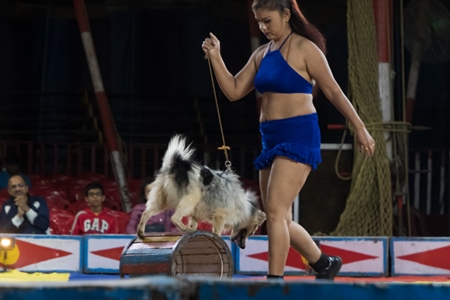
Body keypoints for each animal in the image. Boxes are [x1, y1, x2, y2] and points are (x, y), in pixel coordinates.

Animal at [135, 135, 266, 247]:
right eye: (253, 230)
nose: (243, 247)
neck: (246, 207)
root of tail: (177, 165)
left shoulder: (195, 215)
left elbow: (194, 224)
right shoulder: (220, 216)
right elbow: (217, 232)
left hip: (161, 201)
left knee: (146, 213)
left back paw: (141, 232)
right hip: (190, 200)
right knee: (174, 218)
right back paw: (184, 228)